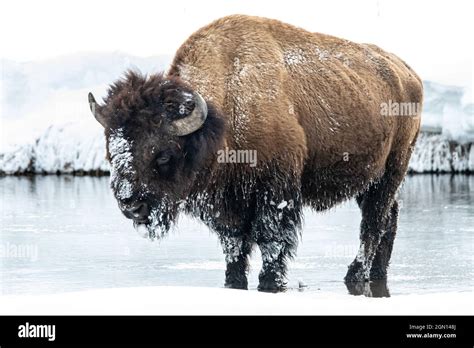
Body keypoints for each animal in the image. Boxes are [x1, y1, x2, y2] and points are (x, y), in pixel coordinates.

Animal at [89, 14, 422, 292]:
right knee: (387, 219)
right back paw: (377, 273)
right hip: (371, 180)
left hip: (392, 170)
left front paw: (270, 282)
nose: (130, 204)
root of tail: (408, 73)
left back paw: (355, 274)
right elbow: (234, 244)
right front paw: (233, 281)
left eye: (162, 155)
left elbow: (271, 239)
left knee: (373, 223)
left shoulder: (275, 192)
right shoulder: (225, 203)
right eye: (111, 152)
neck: (223, 113)